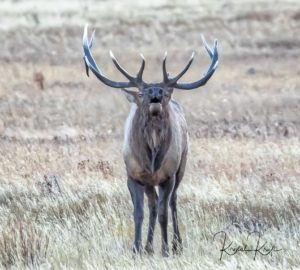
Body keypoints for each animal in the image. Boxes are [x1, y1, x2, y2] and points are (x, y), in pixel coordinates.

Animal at [82, 24, 218, 256]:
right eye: (142, 93)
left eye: (165, 92)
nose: (155, 91)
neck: (152, 156)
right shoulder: (133, 175)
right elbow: (139, 212)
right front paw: (136, 248)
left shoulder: (167, 176)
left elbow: (164, 212)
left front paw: (165, 249)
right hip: (149, 182)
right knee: (152, 205)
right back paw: (147, 246)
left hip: (181, 165)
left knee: (172, 202)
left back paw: (176, 244)